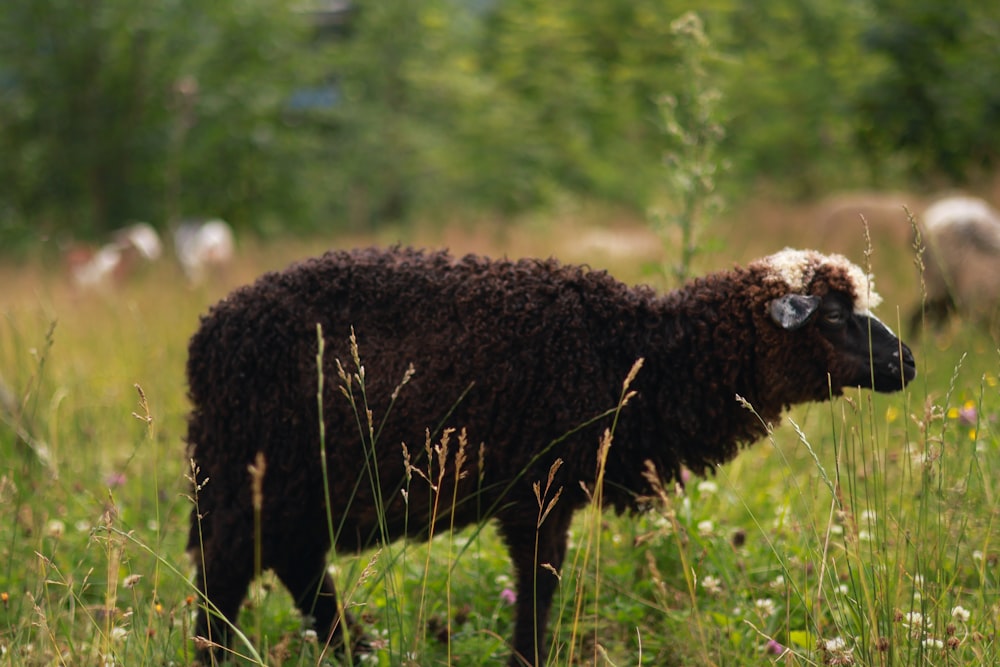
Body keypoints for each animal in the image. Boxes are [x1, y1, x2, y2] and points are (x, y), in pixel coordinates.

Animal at [184, 245, 916, 664]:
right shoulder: (539, 487)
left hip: (288, 488)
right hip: (253, 476)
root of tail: (209, 334)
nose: (907, 361)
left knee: (299, 572)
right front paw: (525, 658)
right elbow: (539, 589)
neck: (639, 353)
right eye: (832, 315)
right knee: (227, 582)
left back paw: (361, 652)